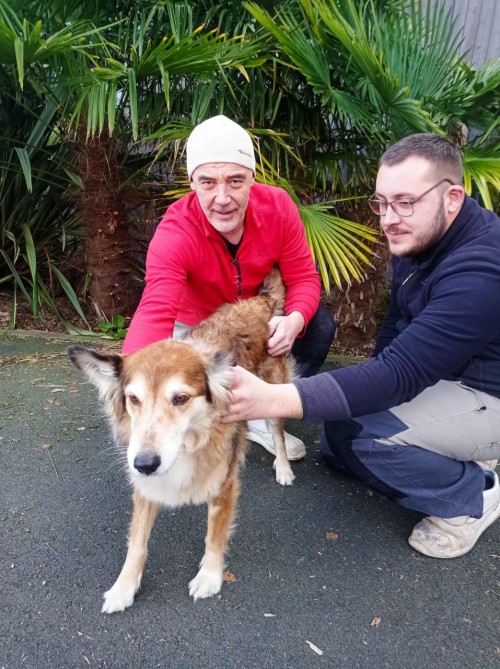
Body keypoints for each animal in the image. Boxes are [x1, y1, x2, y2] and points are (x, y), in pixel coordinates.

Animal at [70, 268, 296, 612]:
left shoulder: (224, 487)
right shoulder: (145, 485)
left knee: (279, 433)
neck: (190, 441)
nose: (145, 463)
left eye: (181, 398)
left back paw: (283, 467)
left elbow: (214, 535)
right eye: (133, 399)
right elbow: (137, 543)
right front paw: (124, 587)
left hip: (273, 392)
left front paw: (209, 577)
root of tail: (258, 302)